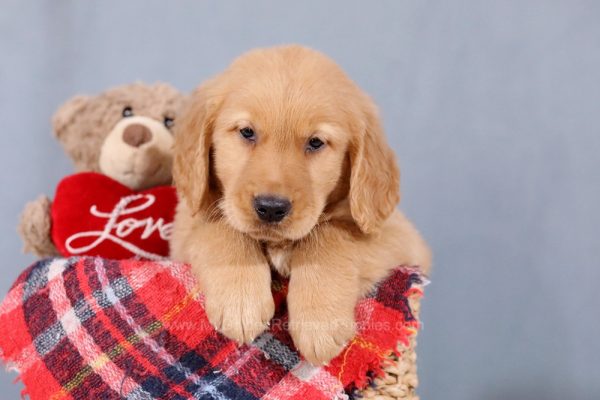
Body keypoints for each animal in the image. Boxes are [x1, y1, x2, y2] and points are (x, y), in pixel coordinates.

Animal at [170, 44, 432, 366]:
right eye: (247, 132)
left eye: (316, 142)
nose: (271, 207)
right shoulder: (186, 223)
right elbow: (221, 227)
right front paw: (240, 299)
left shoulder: (398, 235)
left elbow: (329, 235)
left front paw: (319, 320)